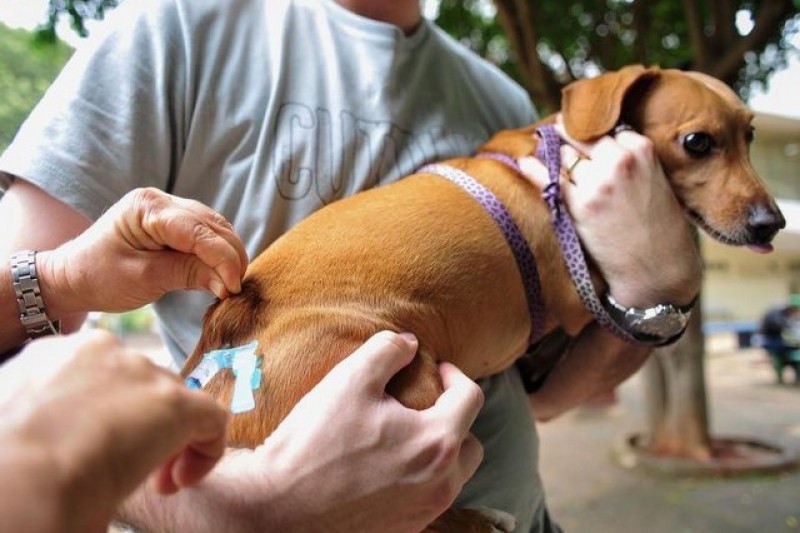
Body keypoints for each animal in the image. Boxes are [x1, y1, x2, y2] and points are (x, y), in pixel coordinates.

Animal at [180, 64, 780, 528]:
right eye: (698, 143)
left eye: (751, 136)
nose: (772, 223)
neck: (558, 157)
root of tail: (229, 332)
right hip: (412, 379)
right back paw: (481, 520)